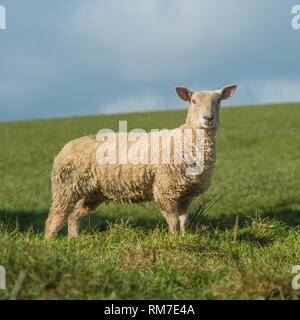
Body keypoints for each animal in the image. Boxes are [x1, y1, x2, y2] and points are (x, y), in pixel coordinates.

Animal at [44, 84, 237, 239]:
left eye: (218, 101)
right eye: (194, 101)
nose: (208, 118)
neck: (186, 140)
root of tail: (64, 148)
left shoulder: (186, 193)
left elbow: (184, 222)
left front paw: (184, 238)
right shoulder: (165, 188)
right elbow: (174, 221)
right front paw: (174, 241)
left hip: (93, 192)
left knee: (74, 214)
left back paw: (73, 240)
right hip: (66, 186)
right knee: (54, 219)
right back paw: (49, 244)